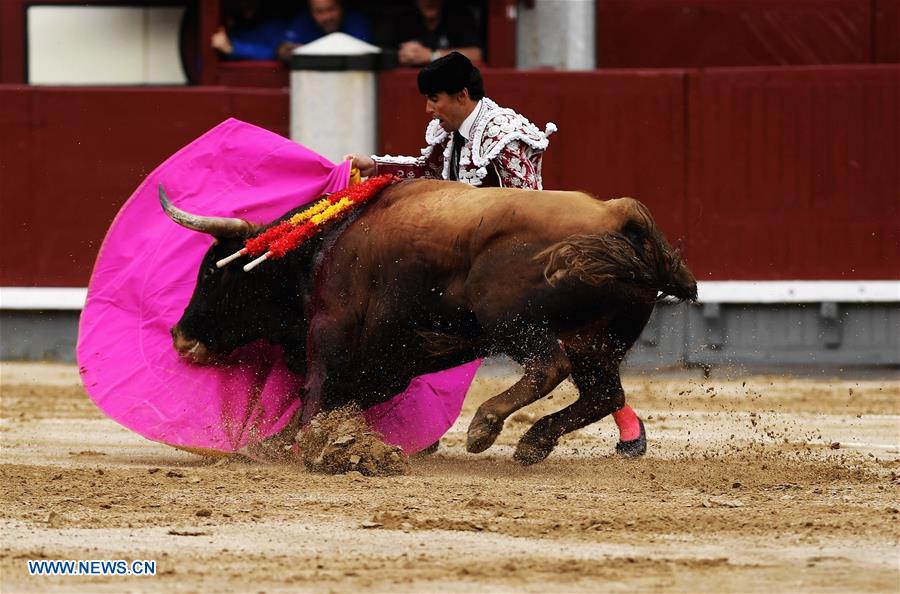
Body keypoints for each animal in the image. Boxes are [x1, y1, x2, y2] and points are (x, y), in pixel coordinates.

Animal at [163, 178, 696, 464]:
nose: (179, 337)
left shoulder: (331, 329)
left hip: (510, 318)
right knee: (605, 392)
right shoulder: (387, 362)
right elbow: (341, 399)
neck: (322, 249)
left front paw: (297, 447)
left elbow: (316, 391)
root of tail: (621, 216)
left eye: (211, 272)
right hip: (599, 338)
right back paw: (534, 442)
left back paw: (485, 426)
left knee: (550, 368)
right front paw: (278, 445)